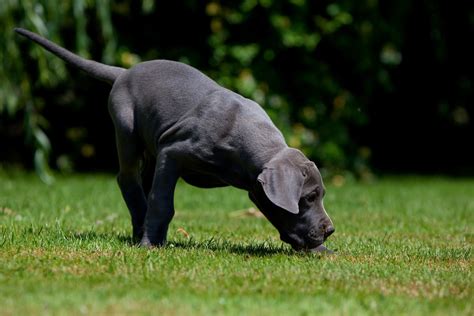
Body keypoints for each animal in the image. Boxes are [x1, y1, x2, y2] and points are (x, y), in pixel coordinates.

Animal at [14, 27, 334, 252]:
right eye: (308, 197)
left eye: (320, 196)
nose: (329, 230)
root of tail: (124, 71)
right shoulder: (174, 152)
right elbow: (162, 201)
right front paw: (150, 244)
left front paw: (320, 251)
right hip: (127, 130)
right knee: (128, 179)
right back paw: (143, 233)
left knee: (142, 185)